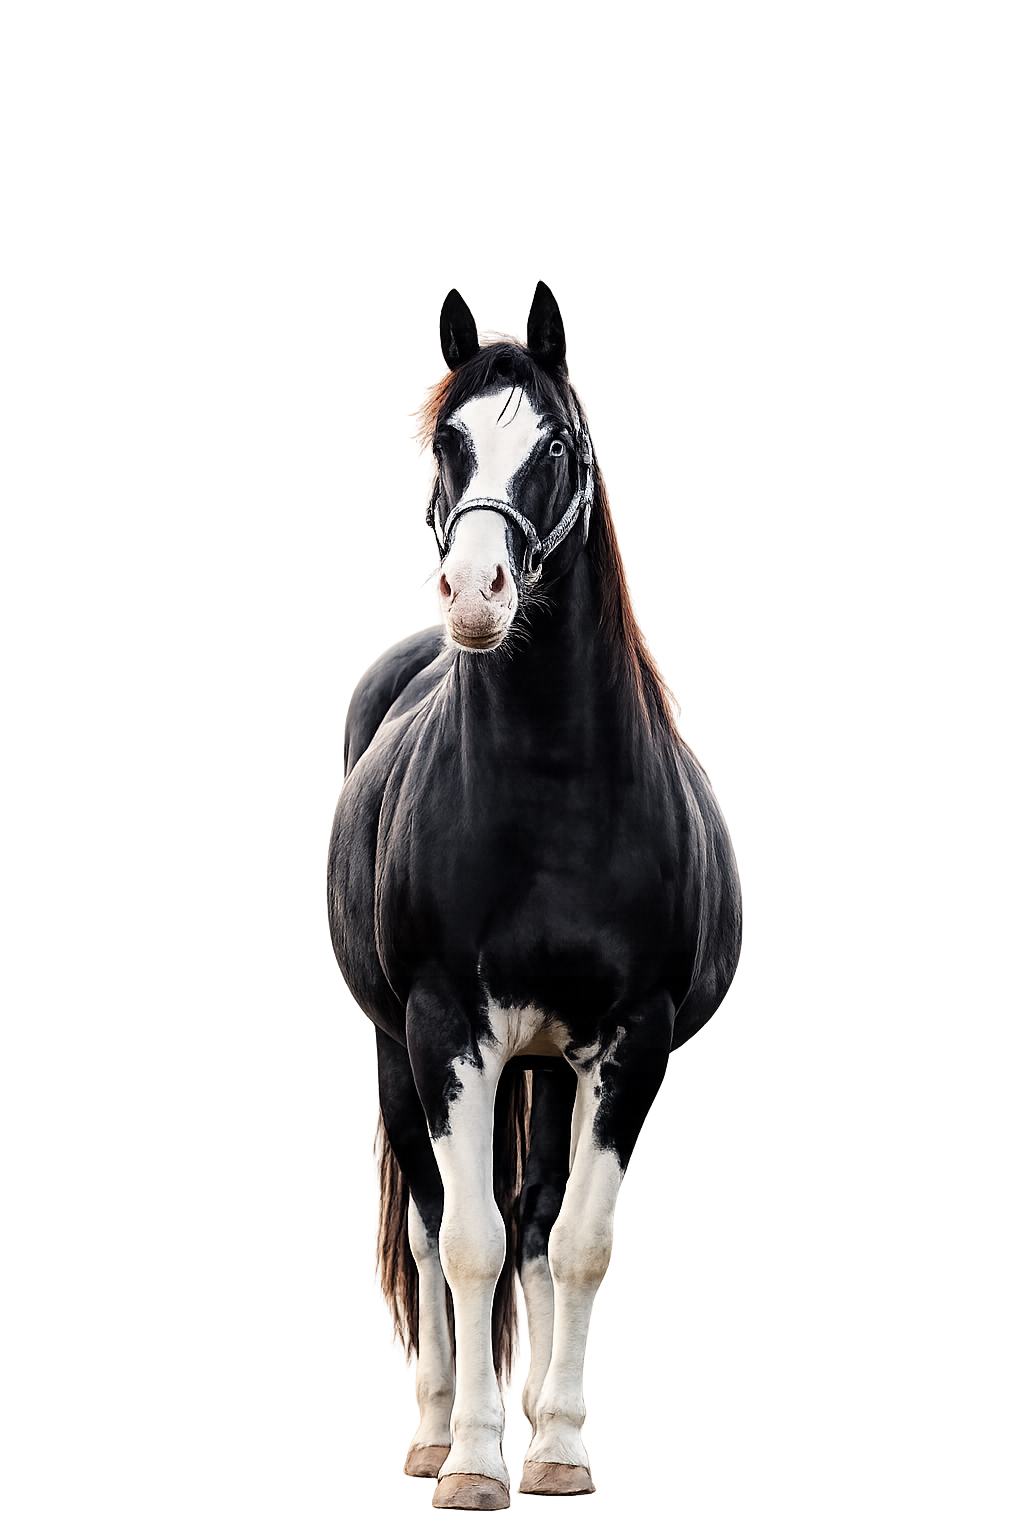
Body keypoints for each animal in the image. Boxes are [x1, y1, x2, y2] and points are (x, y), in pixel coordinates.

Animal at [328, 283, 741, 1510]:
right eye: (444, 441)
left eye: (555, 443)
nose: (476, 594)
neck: (554, 792)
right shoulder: (444, 1030)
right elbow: (466, 1244)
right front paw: (474, 1461)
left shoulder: (629, 1042)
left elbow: (573, 1243)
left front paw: (557, 1446)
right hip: (394, 1054)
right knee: (429, 1230)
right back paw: (430, 1431)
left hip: (549, 1064)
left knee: (539, 1217)